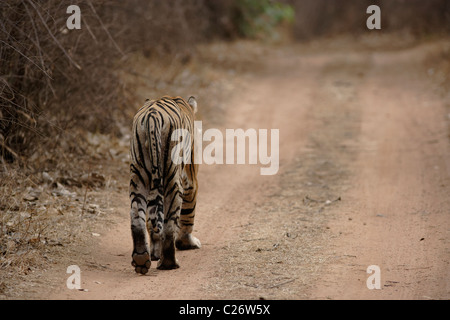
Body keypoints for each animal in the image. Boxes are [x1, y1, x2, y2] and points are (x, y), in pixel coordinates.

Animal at [130, 95, 200, 276]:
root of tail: (152, 116)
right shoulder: (190, 179)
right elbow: (188, 213)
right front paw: (188, 243)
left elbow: (151, 220)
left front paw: (154, 252)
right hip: (172, 179)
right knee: (169, 226)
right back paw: (169, 263)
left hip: (138, 177)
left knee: (138, 218)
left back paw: (142, 259)